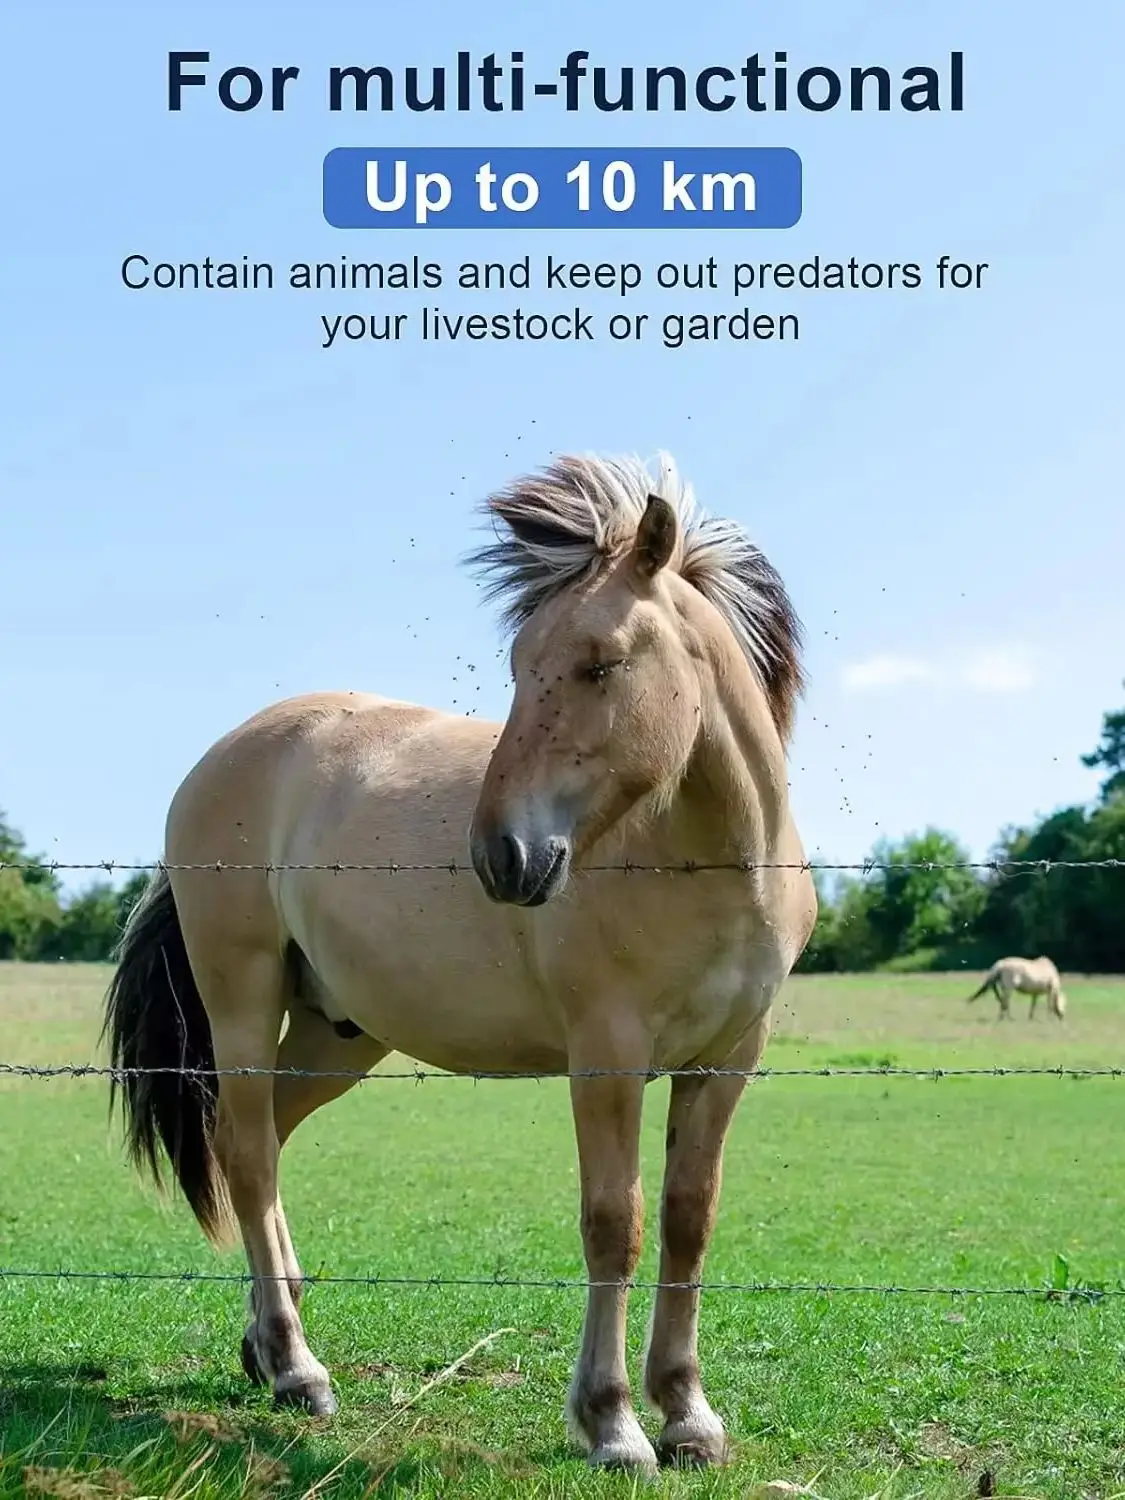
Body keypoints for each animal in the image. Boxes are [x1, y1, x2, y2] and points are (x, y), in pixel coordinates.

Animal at [102, 451, 816, 1473]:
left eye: (601, 663)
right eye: (518, 667)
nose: (503, 856)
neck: (707, 863)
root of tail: (220, 759)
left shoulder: (726, 1062)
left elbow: (688, 1220)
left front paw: (687, 1414)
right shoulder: (607, 1057)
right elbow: (614, 1225)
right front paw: (611, 1423)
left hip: (337, 1035)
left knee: (264, 1145)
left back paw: (264, 1344)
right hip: (242, 1001)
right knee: (245, 1154)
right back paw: (296, 1365)